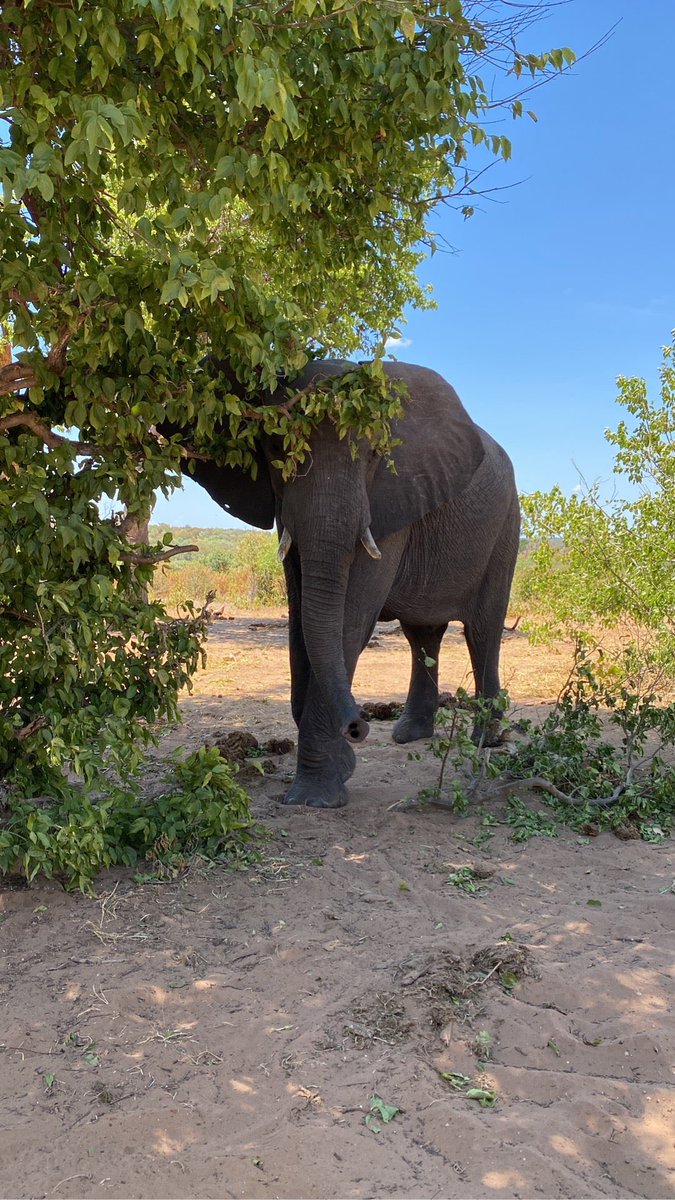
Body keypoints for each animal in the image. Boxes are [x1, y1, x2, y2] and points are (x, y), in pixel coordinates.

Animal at [179, 360, 520, 808]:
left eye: (375, 454)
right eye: (274, 451)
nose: (358, 727)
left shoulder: (392, 499)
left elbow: (348, 620)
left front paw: (315, 797)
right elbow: (302, 615)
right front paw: (334, 771)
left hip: (506, 523)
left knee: (482, 630)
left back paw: (484, 740)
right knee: (422, 635)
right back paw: (409, 734)